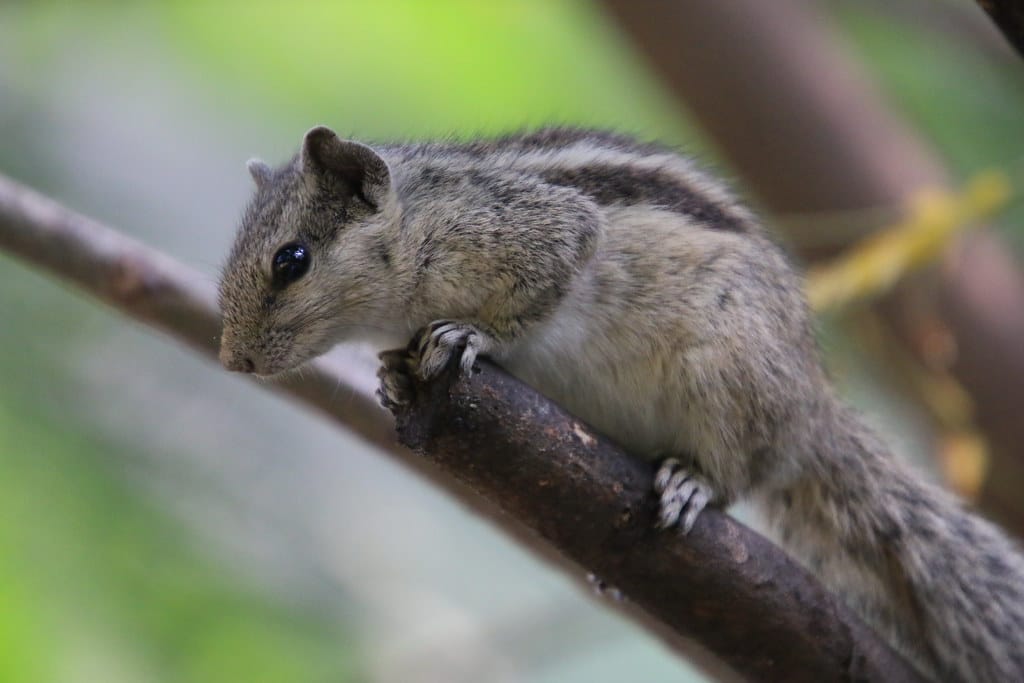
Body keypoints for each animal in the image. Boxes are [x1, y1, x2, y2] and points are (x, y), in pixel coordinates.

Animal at [216, 125, 1024, 679]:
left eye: (292, 260)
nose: (234, 362)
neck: (414, 222)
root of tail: (811, 411)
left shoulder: (533, 235)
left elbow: (540, 287)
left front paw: (470, 334)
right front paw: (390, 375)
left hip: (729, 377)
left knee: (737, 475)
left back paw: (694, 482)